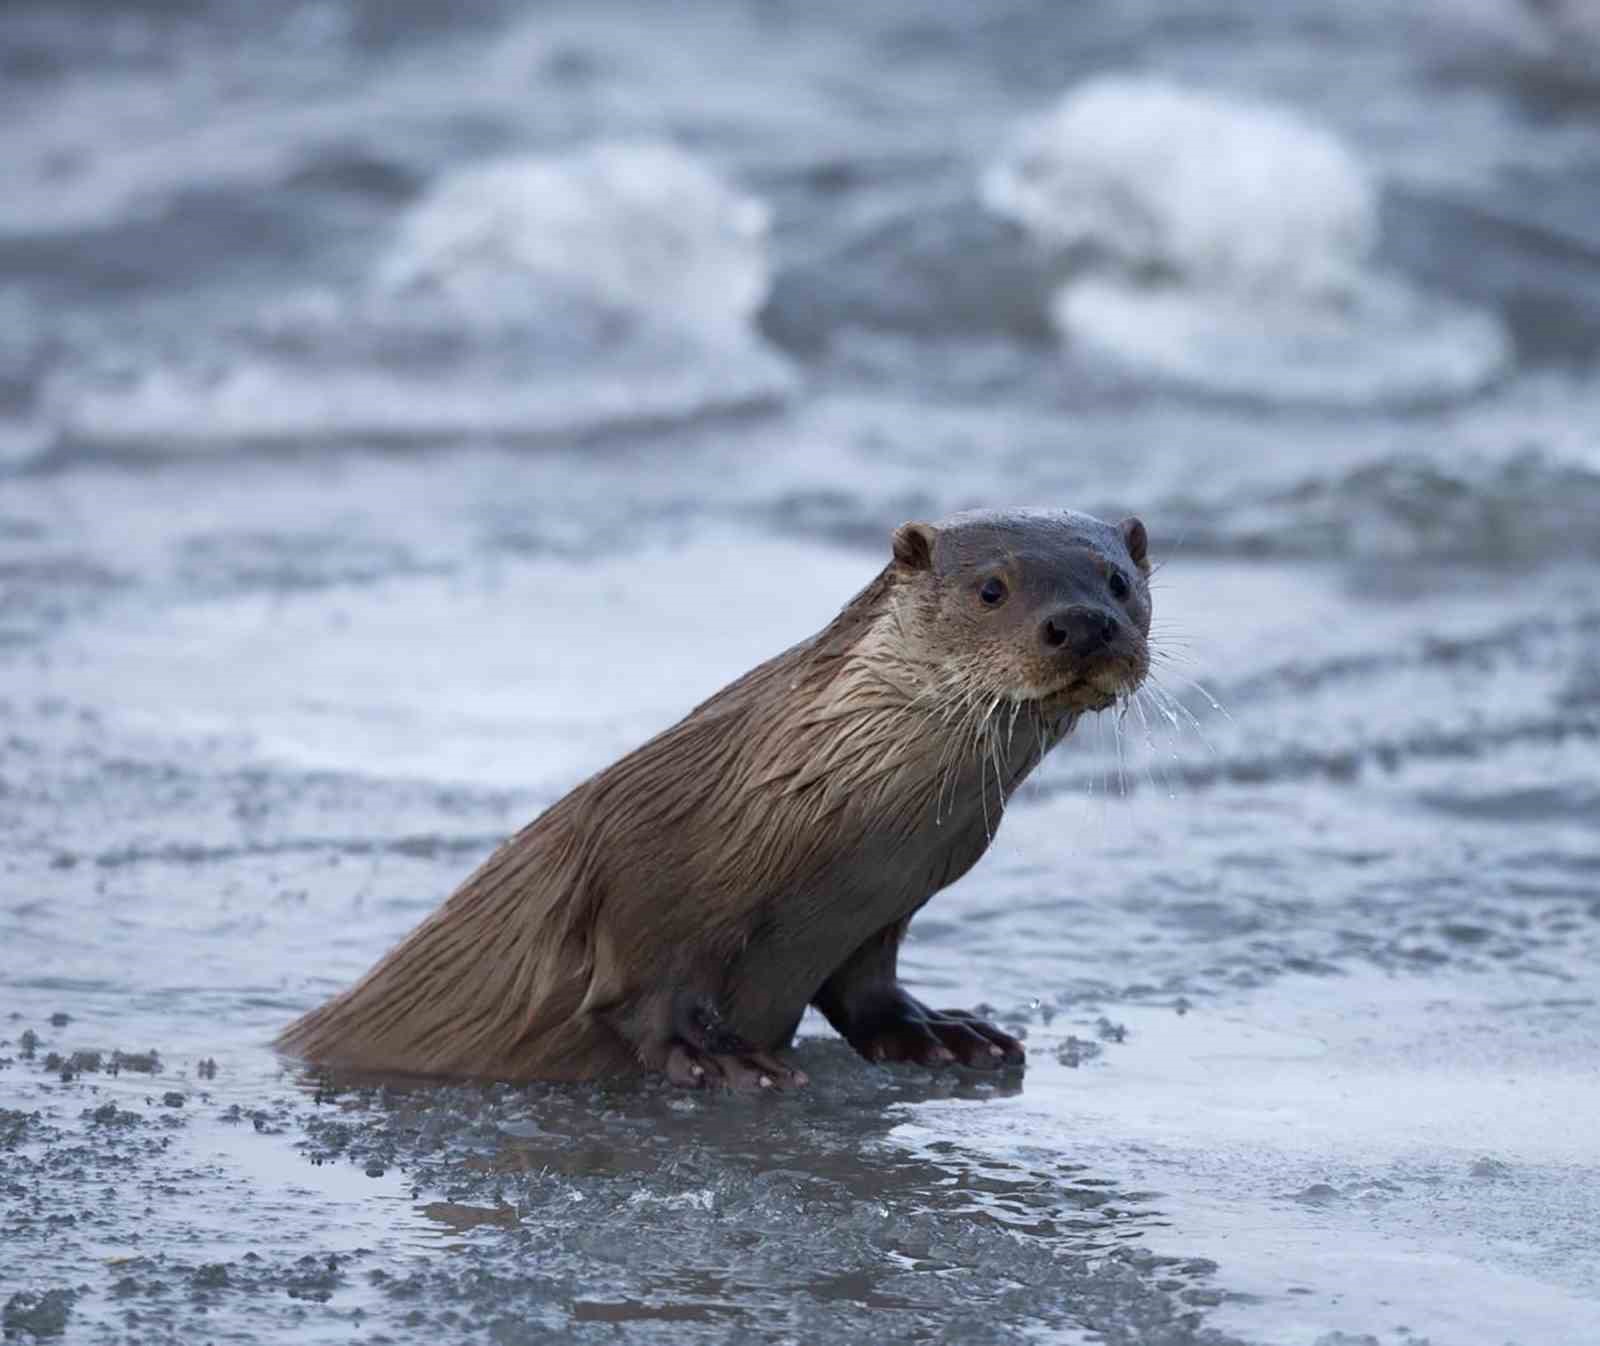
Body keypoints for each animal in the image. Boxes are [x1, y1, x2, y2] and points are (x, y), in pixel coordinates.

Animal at [278, 508, 1152, 1088]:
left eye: (1119, 581)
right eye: (992, 589)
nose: (1083, 624)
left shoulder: (885, 906)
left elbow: (868, 987)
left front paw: (940, 1033)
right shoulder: (640, 865)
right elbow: (644, 987)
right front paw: (716, 1056)